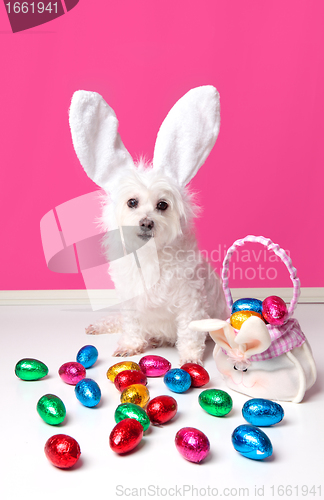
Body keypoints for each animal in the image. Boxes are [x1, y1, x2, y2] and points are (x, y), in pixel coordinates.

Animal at [69, 87, 229, 364]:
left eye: (162, 205)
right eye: (132, 202)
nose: (146, 222)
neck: (150, 256)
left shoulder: (191, 303)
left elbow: (190, 333)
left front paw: (190, 359)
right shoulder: (131, 302)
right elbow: (131, 325)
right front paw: (130, 345)